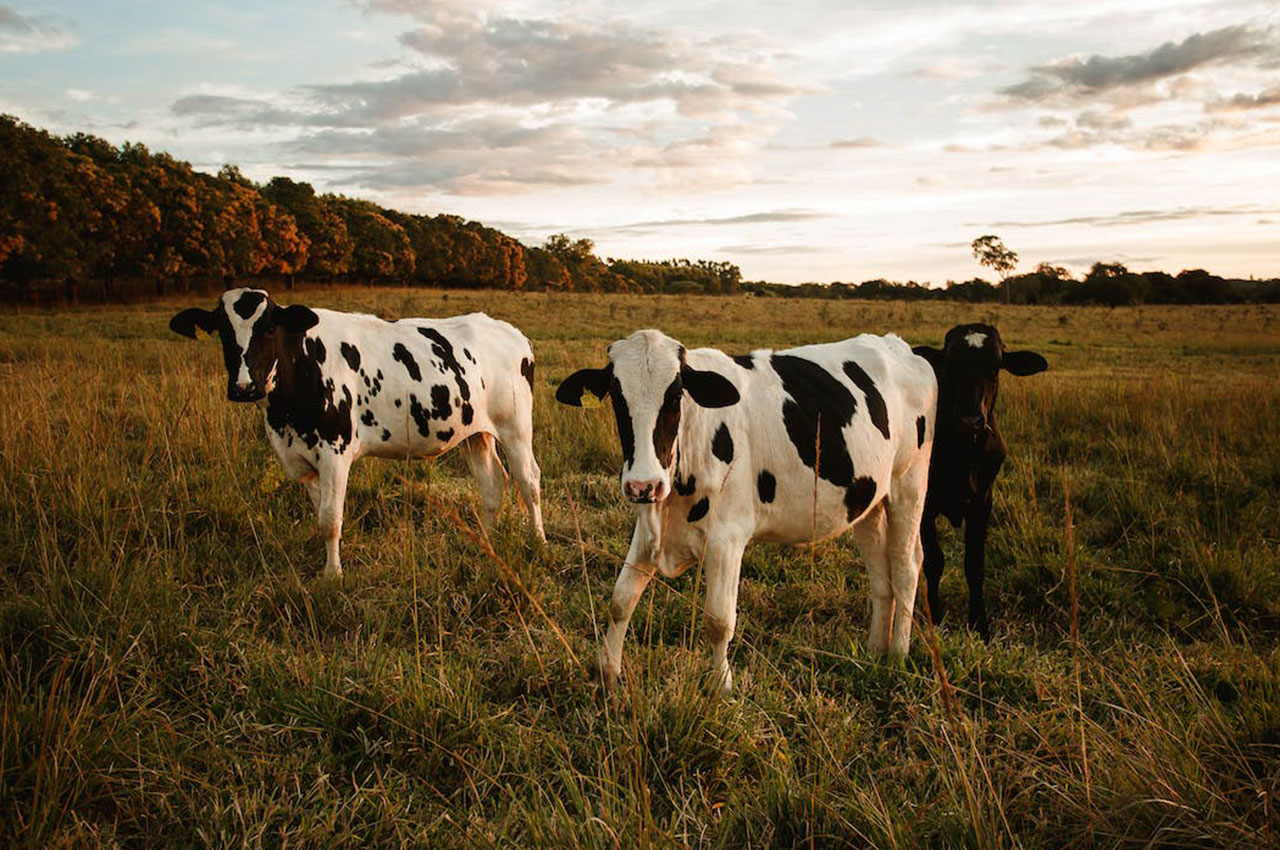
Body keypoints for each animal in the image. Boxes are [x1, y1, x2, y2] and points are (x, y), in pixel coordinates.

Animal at [167, 286, 542, 578]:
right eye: (222, 329)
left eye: (270, 327)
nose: (244, 387)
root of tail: (509, 331)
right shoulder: (300, 458)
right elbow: (320, 515)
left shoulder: (334, 451)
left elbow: (331, 518)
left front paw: (333, 576)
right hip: (475, 432)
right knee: (493, 483)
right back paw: (487, 542)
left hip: (515, 427)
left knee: (528, 480)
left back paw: (538, 541)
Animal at [555, 327, 936, 696]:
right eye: (617, 397)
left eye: (676, 396)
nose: (642, 485)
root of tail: (899, 346)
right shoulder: (649, 532)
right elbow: (621, 599)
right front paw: (607, 674)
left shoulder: (727, 538)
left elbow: (718, 619)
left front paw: (721, 685)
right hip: (868, 499)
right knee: (880, 574)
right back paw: (874, 651)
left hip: (909, 484)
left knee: (906, 567)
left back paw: (898, 654)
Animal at [906, 322, 1044, 640]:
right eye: (951, 364)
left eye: (995, 367)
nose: (970, 421)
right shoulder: (926, 505)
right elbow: (935, 561)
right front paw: (937, 616)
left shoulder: (983, 502)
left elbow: (975, 564)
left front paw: (980, 623)